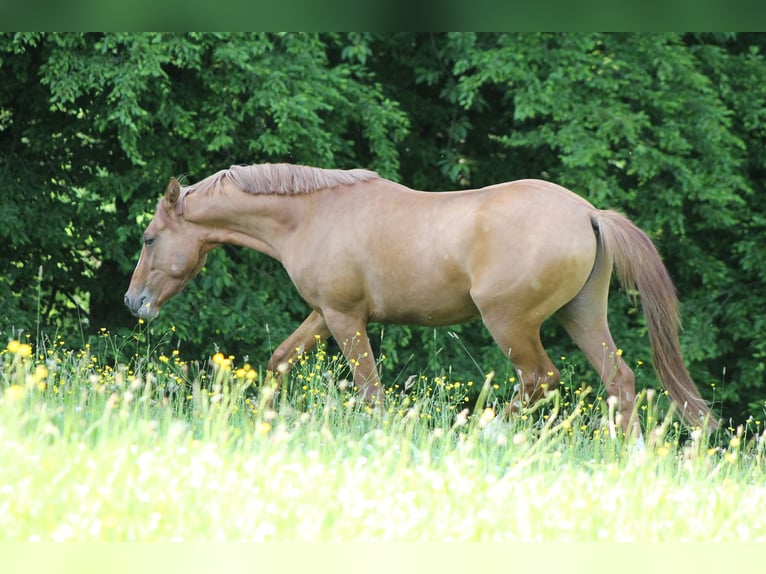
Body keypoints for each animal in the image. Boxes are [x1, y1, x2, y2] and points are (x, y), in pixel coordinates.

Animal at [123, 162, 716, 432]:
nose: (133, 303)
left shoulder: (345, 318)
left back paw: (481, 431)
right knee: (620, 381)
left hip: (511, 325)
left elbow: (370, 390)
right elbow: (279, 360)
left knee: (540, 380)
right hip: (582, 316)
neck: (311, 214)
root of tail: (590, 213)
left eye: (149, 239)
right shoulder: (325, 313)